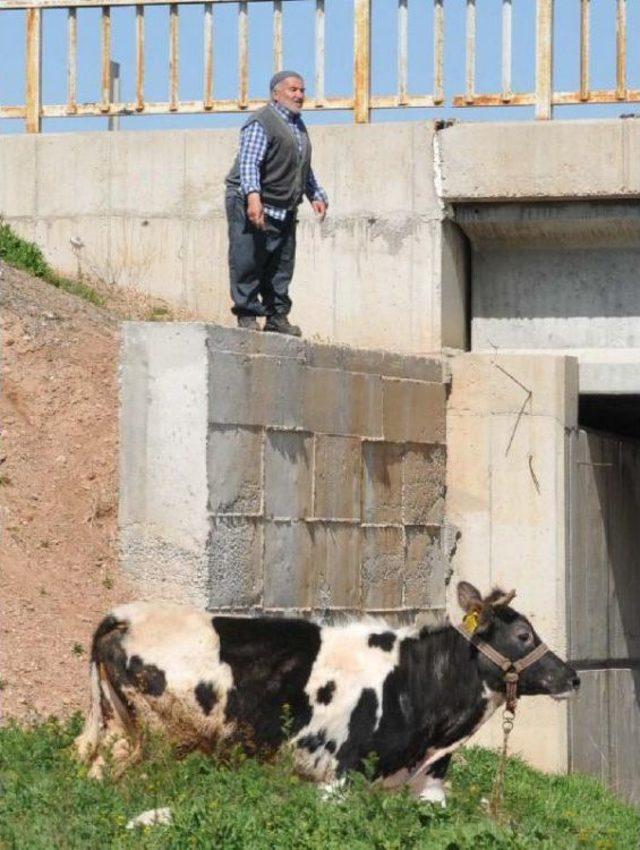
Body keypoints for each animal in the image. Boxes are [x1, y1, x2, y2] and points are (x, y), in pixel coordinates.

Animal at [75, 580, 580, 804]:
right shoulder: (338, 776)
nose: (573, 677)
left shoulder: (428, 785)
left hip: (120, 728)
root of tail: (126, 614)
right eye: (523, 636)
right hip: (155, 741)